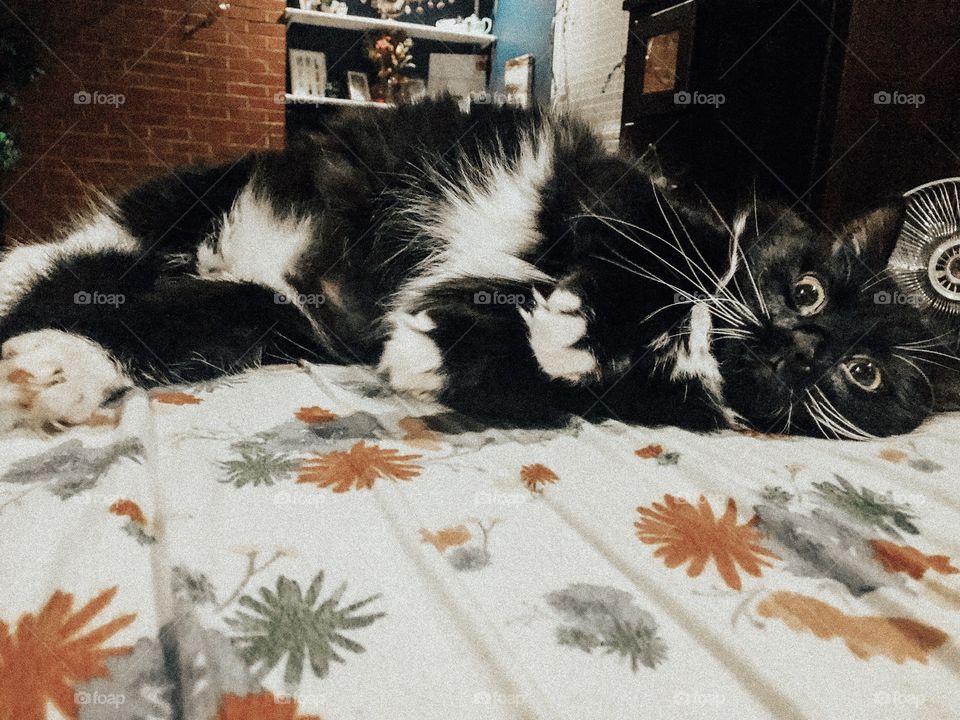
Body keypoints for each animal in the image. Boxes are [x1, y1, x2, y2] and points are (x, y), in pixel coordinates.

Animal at [0, 97, 956, 436]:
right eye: (809, 289)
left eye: (864, 375)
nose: (803, 344)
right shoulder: (621, 199)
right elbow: (632, 265)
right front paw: (576, 324)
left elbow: (545, 386)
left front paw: (448, 352)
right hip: (190, 204)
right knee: (66, 257)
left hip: (255, 311)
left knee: (135, 319)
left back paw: (49, 369)